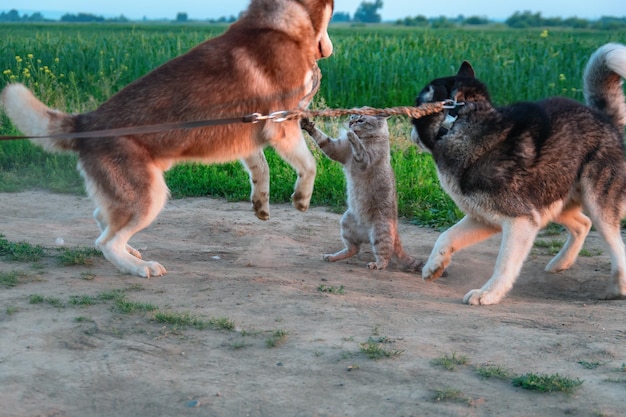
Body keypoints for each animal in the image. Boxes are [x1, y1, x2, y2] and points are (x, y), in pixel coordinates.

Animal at [300, 114, 422, 272]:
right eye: (352, 116)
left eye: (361, 120)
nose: (351, 122)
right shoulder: (337, 149)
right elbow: (323, 139)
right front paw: (307, 125)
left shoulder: (366, 160)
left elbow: (359, 149)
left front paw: (352, 135)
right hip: (346, 222)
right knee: (354, 249)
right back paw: (331, 257)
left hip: (379, 232)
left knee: (385, 257)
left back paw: (376, 264)